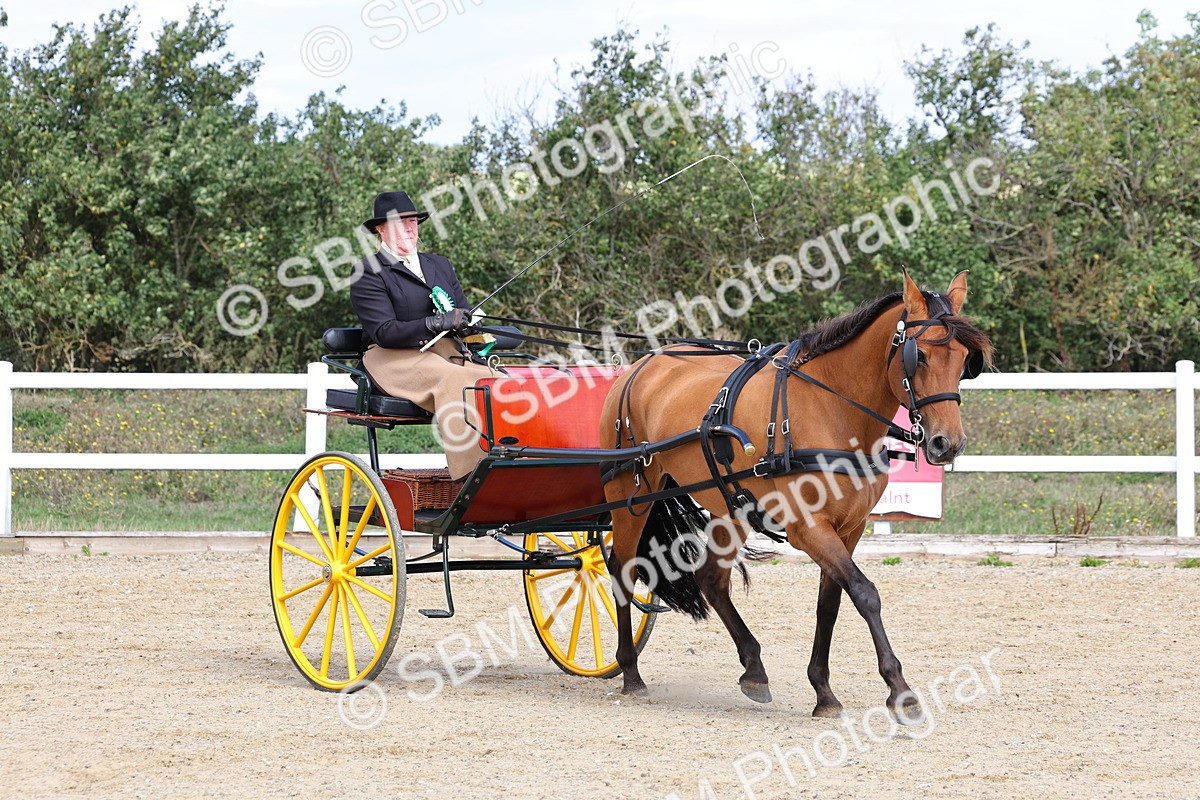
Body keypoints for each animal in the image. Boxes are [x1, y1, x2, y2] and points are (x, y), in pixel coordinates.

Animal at [599, 269, 992, 722]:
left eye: (964, 361)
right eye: (921, 356)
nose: (948, 444)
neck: (833, 408)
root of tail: (640, 366)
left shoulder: (849, 529)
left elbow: (831, 603)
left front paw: (823, 691)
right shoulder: (809, 528)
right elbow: (866, 594)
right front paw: (899, 689)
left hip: (728, 505)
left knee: (712, 580)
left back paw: (754, 668)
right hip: (631, 495)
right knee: (622, 569)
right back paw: (630, 671)